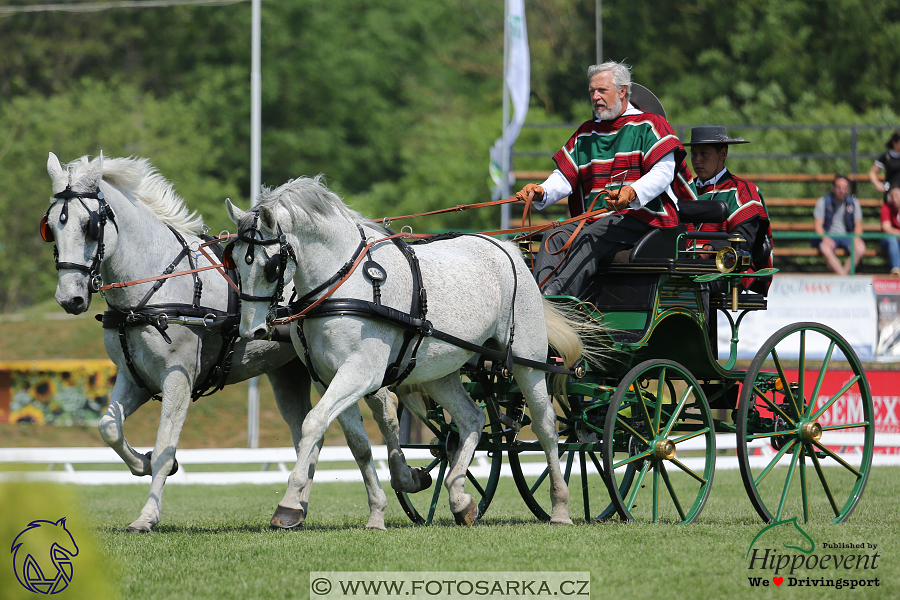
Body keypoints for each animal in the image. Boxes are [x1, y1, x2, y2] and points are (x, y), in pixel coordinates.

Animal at [44, 152, 392, 532]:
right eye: (51, 227)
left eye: (89, 225)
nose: (69, 298)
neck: (154, 285)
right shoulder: (133, 376)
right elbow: (109, 428)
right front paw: (141, 462)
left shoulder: (178, 377)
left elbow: (165, 447)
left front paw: (147, 514)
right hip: (291, 373)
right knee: (307, 435)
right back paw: (295, 509)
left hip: (352, 363)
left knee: (385, 411)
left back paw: (403, 478)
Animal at [225, 175, 596, 524]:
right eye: (236, 264)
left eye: (270, 266)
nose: (252, 330)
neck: (342, 284)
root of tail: (509, 250)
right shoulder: (326, 377)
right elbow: (357, 444)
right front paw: (376, 511)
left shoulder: (360, 372)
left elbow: (313, 423)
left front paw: (289, 504)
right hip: (439, 372)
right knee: (471, 419)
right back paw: (460, 499)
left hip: (527, 361)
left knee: (546, 426)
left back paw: (560, 507)